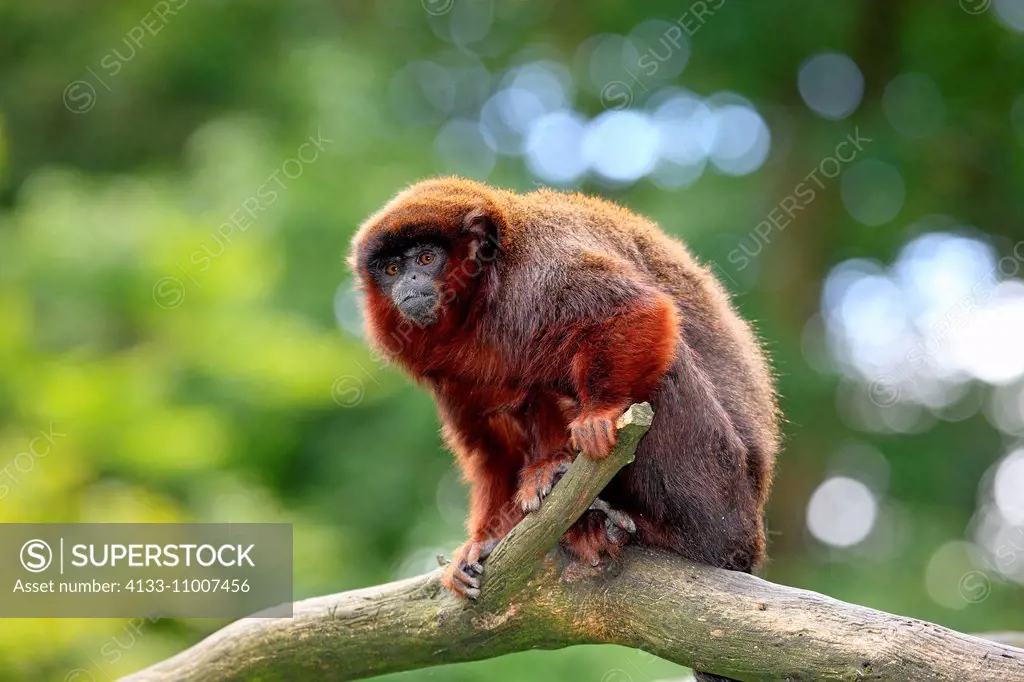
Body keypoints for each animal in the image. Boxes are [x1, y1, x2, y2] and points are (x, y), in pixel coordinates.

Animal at [348, 176, 778, 622]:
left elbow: (637, 309)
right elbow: (492, 449)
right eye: (393, 268)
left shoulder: (544, 269)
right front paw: (482, 542)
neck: (487, 299)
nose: (408, 284)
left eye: (427, 257)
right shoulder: (451, 376)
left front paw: (599, 414)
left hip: (720, 484)